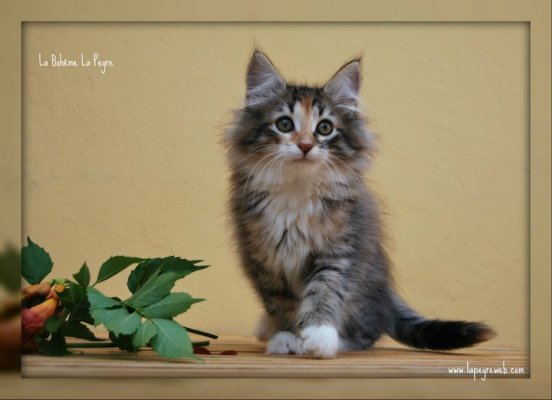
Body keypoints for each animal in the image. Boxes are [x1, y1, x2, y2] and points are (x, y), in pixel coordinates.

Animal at [224, 50, 496, 358]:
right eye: (284, 124)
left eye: (324, 128)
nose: (305, 145)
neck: (298, 189)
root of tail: (386, 291)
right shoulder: (262, 257)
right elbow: (279, 301)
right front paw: (286, 337)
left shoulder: (340, 250)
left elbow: (324, 291)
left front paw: (318, 336)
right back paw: (267, 328)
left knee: (369, 332)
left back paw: (338, 341)